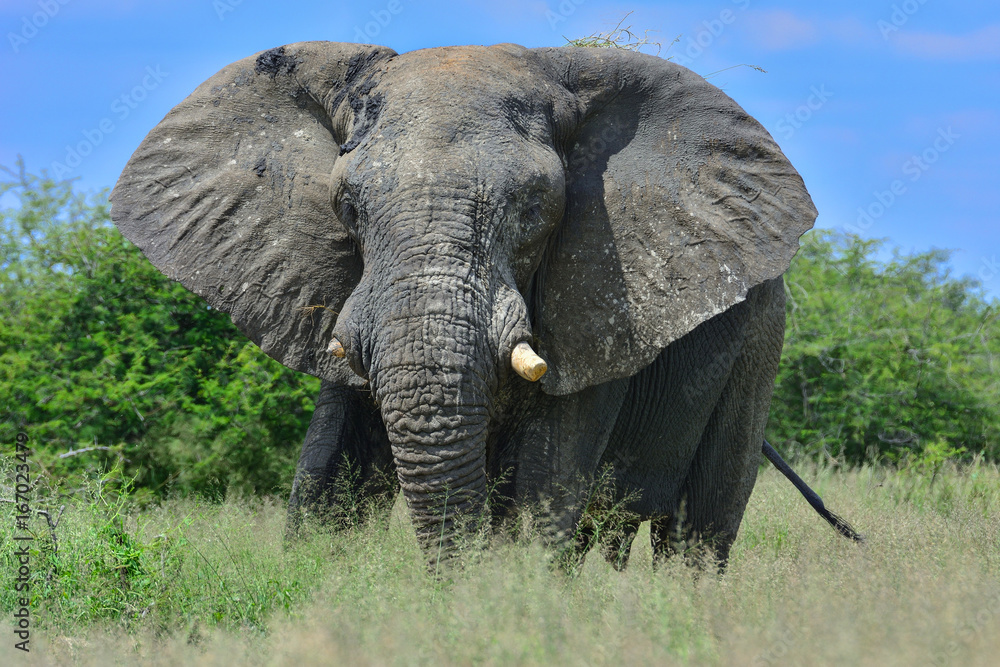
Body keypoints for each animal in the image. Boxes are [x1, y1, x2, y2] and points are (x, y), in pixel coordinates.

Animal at [111, 41, 860, 568]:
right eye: (346, 208)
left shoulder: (602, 297)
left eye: (534, 208)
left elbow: (546, 484)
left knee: (700, 527)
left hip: (762, 337)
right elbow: (328, 474)